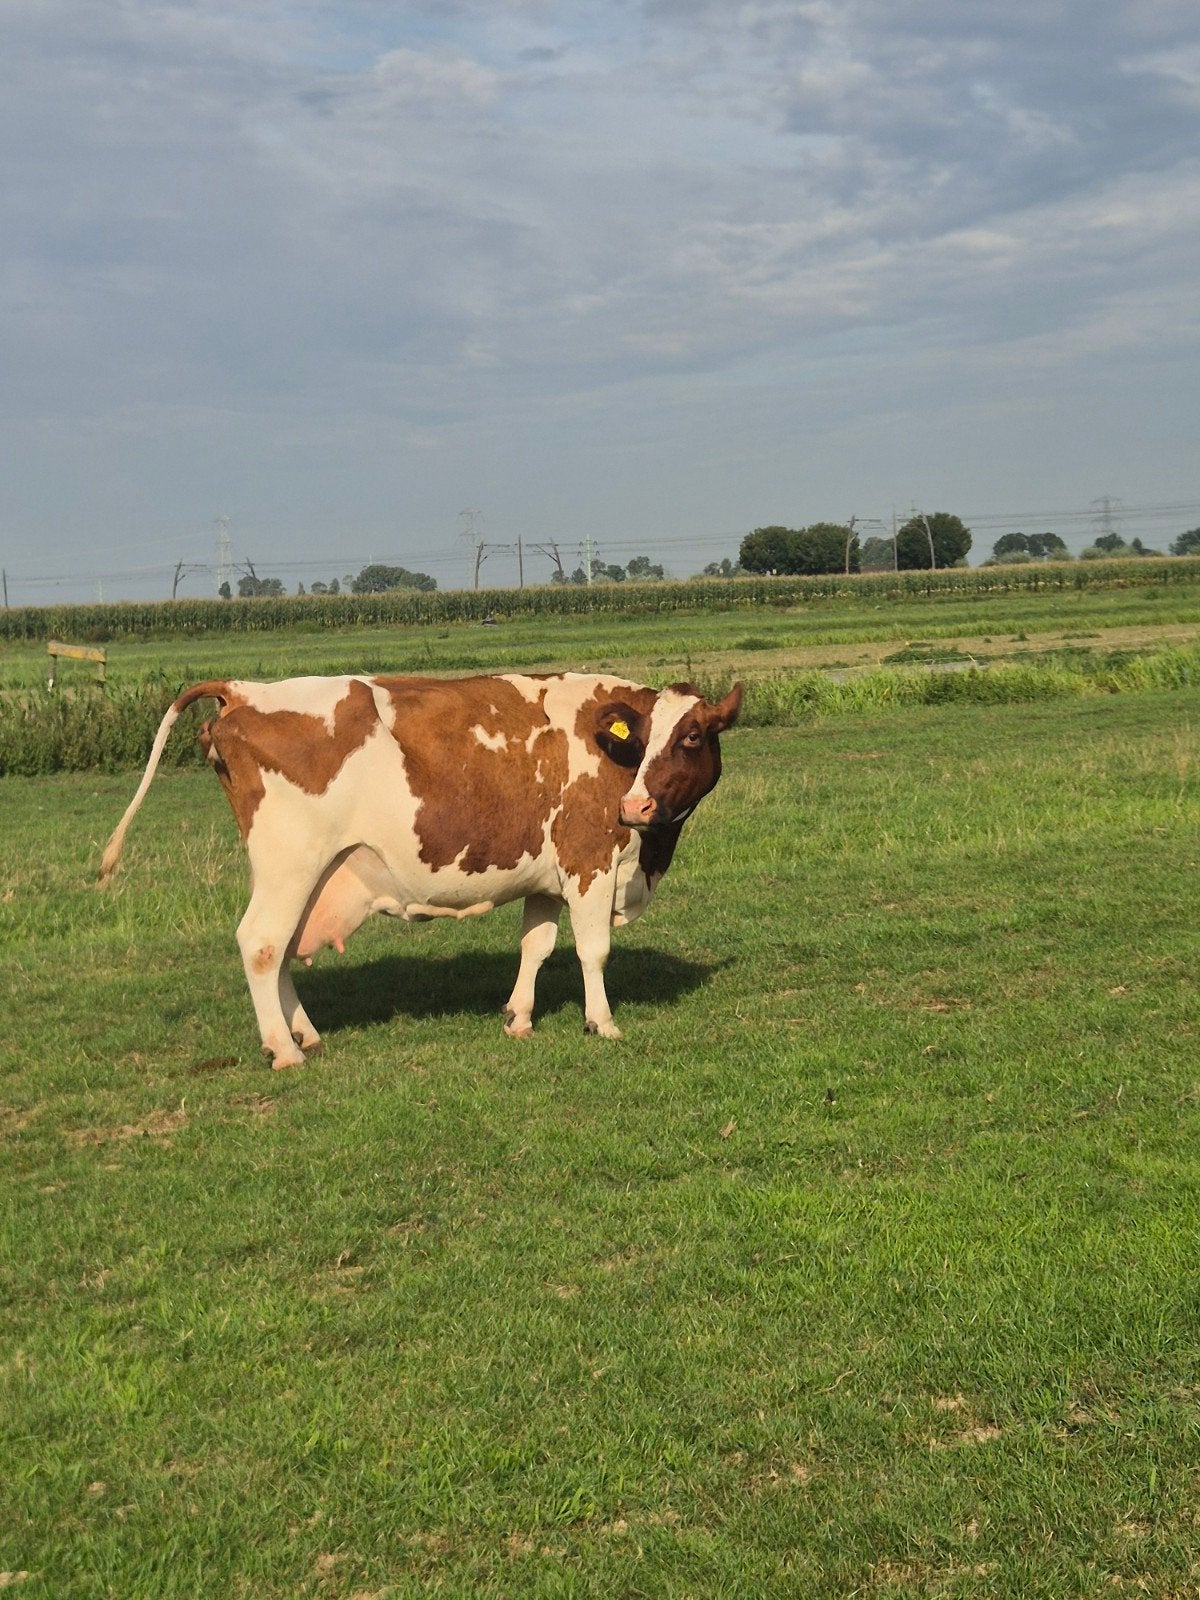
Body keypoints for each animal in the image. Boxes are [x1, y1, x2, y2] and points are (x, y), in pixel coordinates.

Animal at [99, 672, 742, 1066]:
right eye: (644, 737)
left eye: (691, 736)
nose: (635, 807)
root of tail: (242, 692)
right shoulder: (589, 858)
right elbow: (593, 950)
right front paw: (601, 1023)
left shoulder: (545, 872)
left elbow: (535, 944)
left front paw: (519, 1017)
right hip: (291, 864)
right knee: (260, 944)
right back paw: (285, 1049)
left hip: (295, 874)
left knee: (280, 950)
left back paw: (306, 1032)